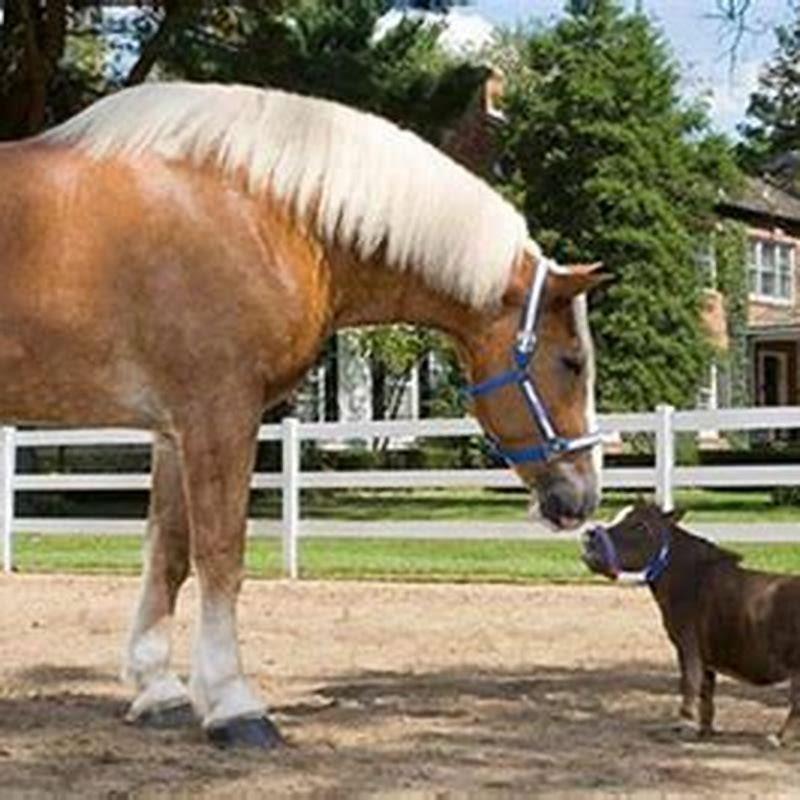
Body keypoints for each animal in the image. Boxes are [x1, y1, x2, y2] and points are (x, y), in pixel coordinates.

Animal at [1, 84, 608, 748]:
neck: (266, 214)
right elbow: (222, 554)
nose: (581, 498)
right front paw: (234, 704)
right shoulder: (219, 413)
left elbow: (169, 553)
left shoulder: (172, 430)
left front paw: (159, 689)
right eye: (573, 362)